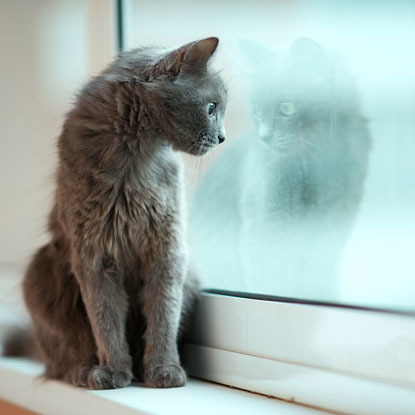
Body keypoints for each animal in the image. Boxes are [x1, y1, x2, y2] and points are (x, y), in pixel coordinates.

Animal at [19, 36, 228, 390]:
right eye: (212, 108)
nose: (223, 137)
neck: (135, 154)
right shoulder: (94, 254)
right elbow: (105, 320)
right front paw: (113, 370)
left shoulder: (167, 250)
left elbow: (163, 316)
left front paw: (163, 370)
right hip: (40, 269)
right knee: (61, 357)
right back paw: (84, 371)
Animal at [190, 38, 372, 300]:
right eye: (257, 110)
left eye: (286, 108)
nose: (264, 137)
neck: (318, 163)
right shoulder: (268, 221)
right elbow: (272, 279)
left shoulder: (334, 221)